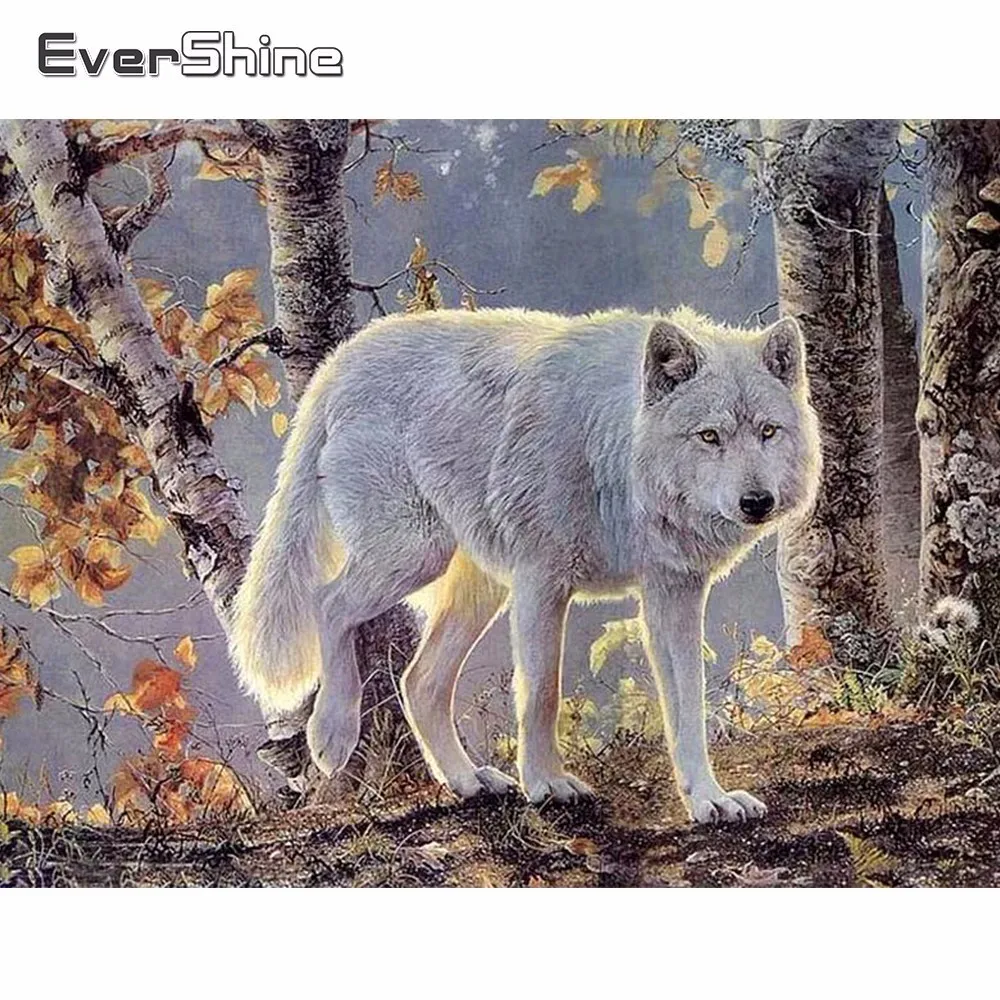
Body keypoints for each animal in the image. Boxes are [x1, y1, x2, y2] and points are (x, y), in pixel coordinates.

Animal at [231, 306, 821, 824]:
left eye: (768, 431)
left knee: (419, 681)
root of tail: (343, 360)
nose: (757, 502)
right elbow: (542, 693)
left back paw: (468, 781)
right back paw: (331, 735)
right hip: (414, 554)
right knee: (327, 604)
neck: (612, 453)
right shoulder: (542, 581)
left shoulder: (673, 591)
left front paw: (707, 800)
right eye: (709, 436)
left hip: (477, 589)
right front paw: (546, 784)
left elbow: (688, 703)